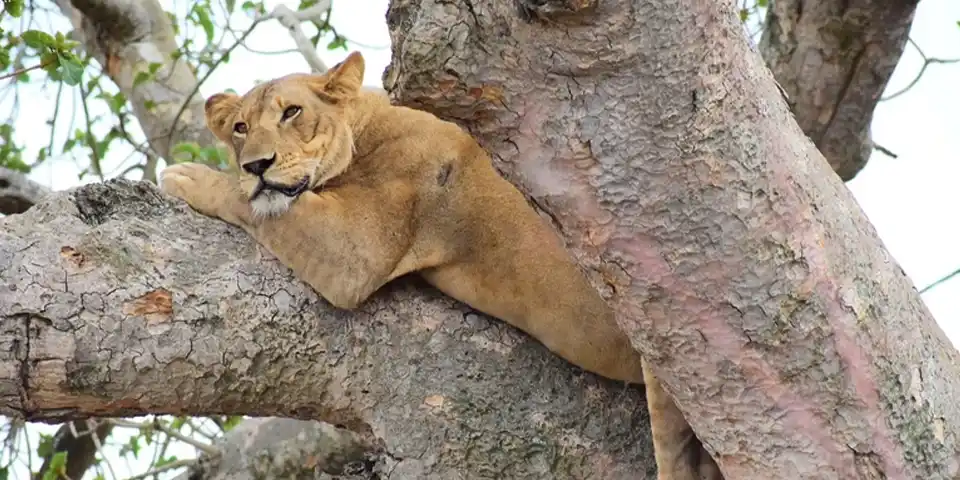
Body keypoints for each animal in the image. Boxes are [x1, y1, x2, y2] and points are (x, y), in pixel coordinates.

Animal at [159, 51, 722, 480]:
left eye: (292, 112)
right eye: (239, 127)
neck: (365, 125)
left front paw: (188, 176)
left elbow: (257, 205)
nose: (256, 164)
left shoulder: (358, 247)